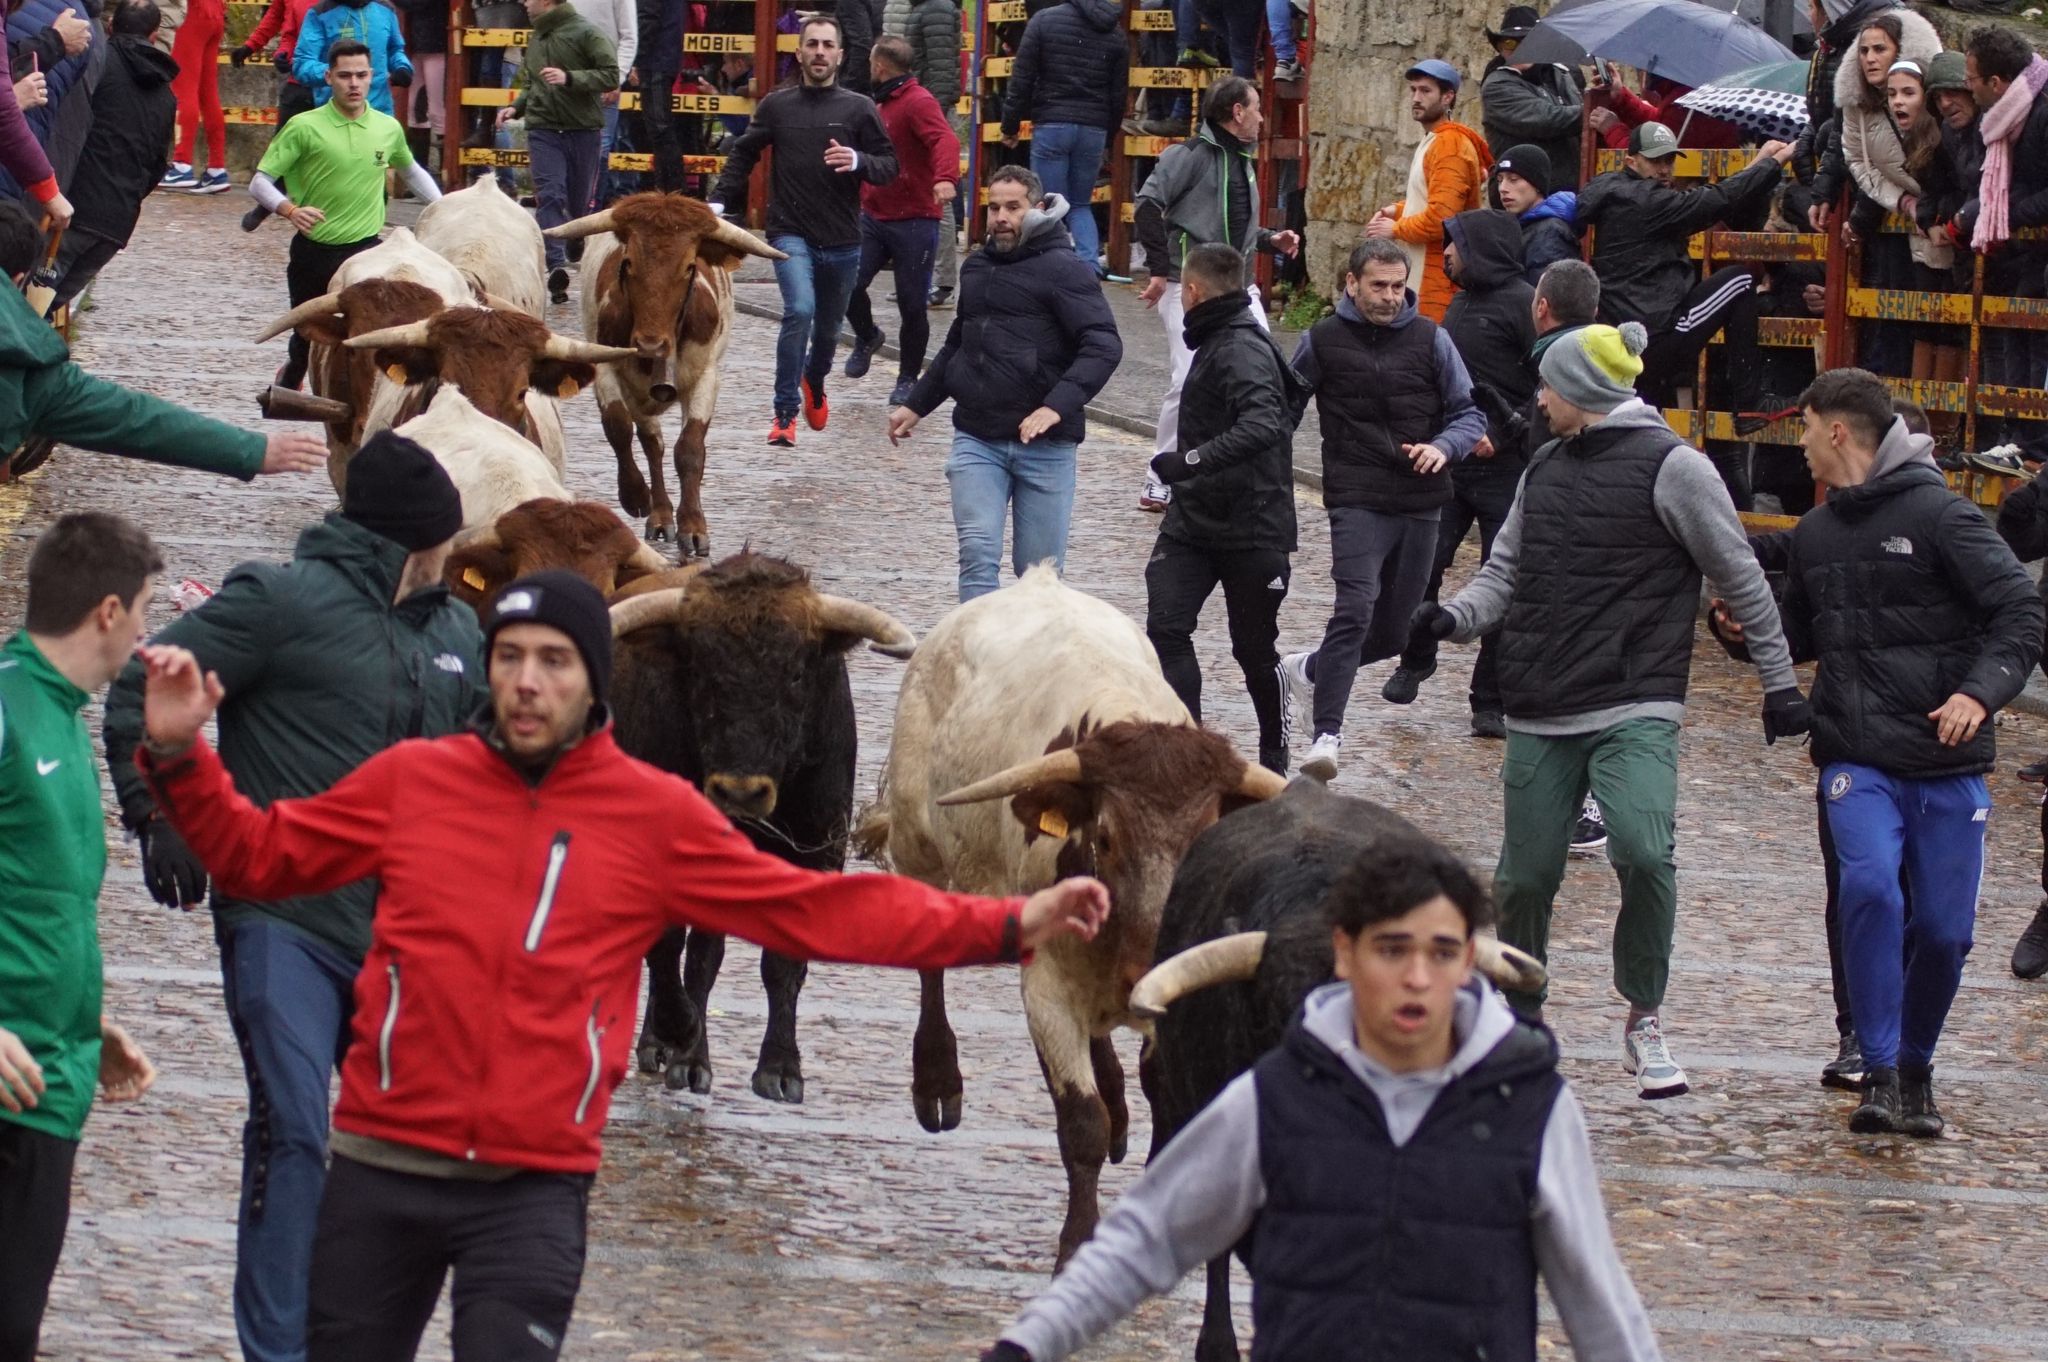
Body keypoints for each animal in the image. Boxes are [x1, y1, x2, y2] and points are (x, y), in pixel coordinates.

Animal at [860, 561, 1277, 1261]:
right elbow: (1081, 1123)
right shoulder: (1048, 989)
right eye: (1105, 837)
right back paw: (937, 1079)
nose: (1140, 973)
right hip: (920, 847)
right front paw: (1078, 1245)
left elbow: (1165, 1100)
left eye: (1203, 838)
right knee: (931, 964)